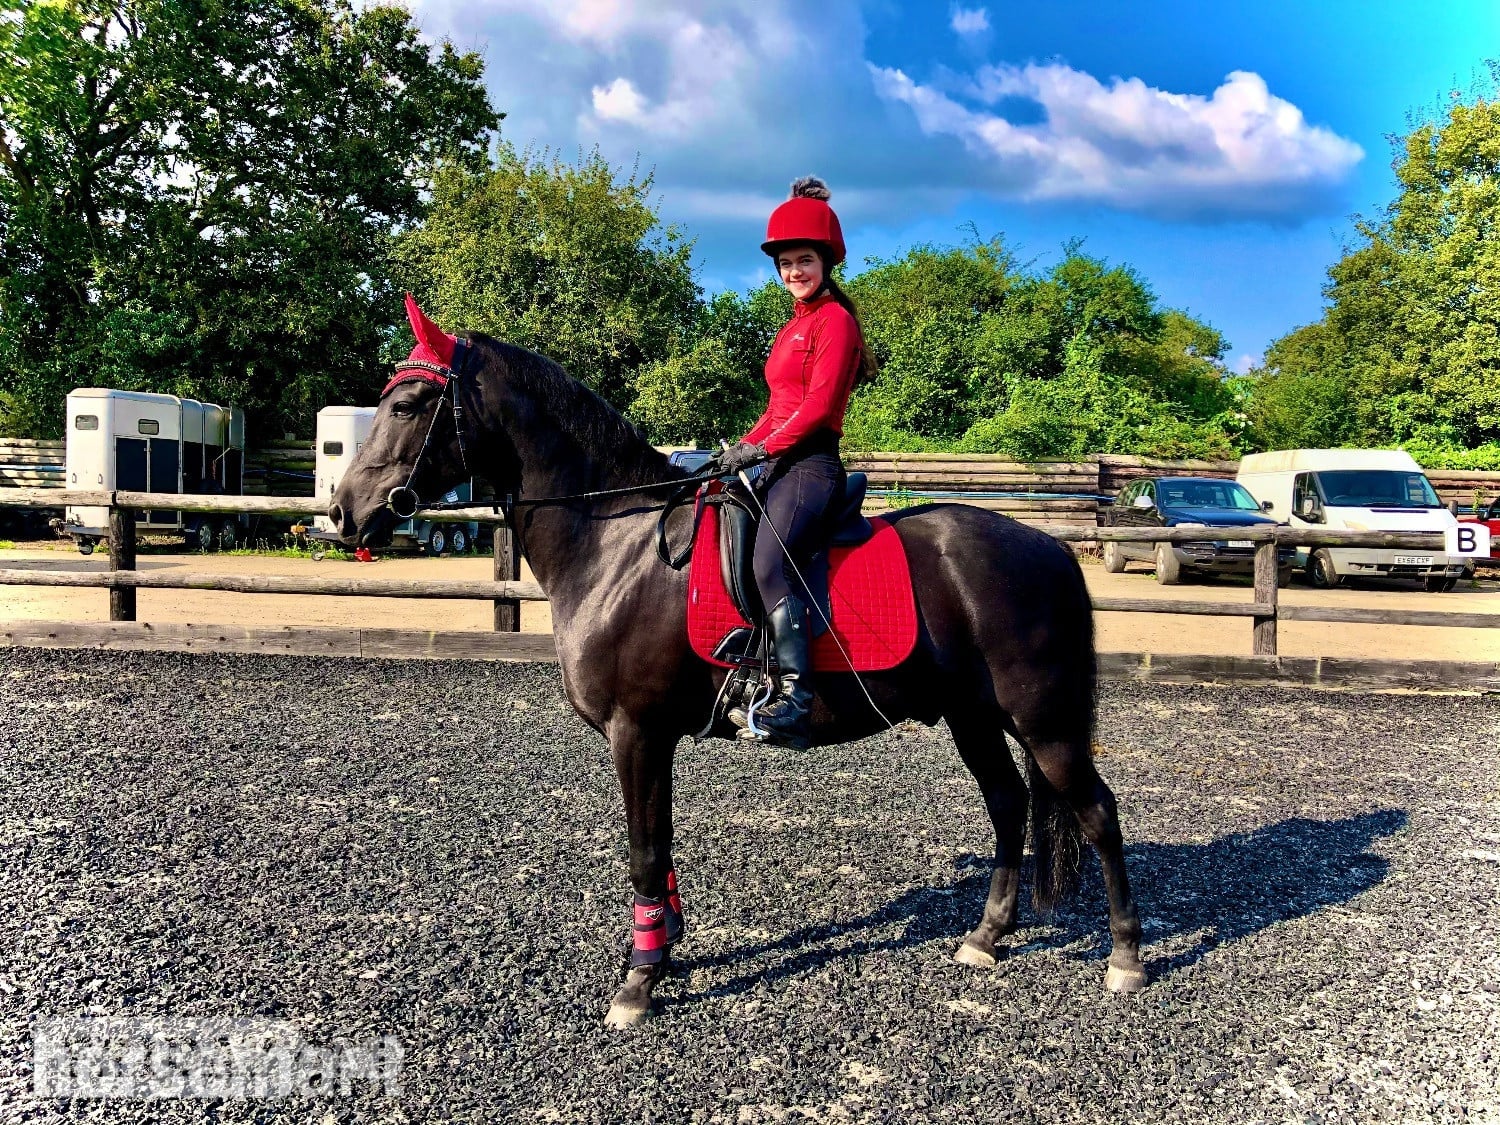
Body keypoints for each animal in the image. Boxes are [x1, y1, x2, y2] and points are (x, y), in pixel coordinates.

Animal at [329, 328, 1146, 1028]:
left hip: (1043, 722)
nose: (344, 511)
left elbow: (644, 850)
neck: (619, 541)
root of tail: (1049, 547)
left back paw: (1127, 956)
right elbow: (658, 842)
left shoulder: (636, 731)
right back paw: (986, 936)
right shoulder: (652, 737)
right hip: (972, 714)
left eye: (406, 405)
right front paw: (663, 948)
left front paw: (639, 983)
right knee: (1009, 805)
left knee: (1097, 812)